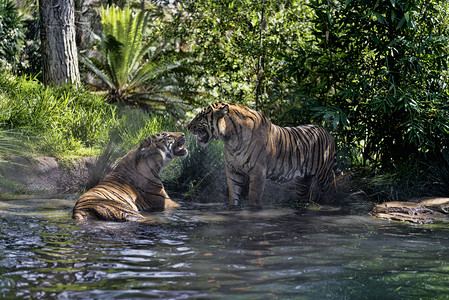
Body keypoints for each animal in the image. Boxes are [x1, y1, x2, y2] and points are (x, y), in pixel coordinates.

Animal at [187, 102, 338, 207]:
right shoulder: (233, 171)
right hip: (303, 180)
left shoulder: (258, 171)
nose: (188, 126)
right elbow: (233, 196)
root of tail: (328, 133)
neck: (230, 138)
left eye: (200, 116)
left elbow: (253, 198)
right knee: (304, 196)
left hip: (324, 176)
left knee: (328, 191)